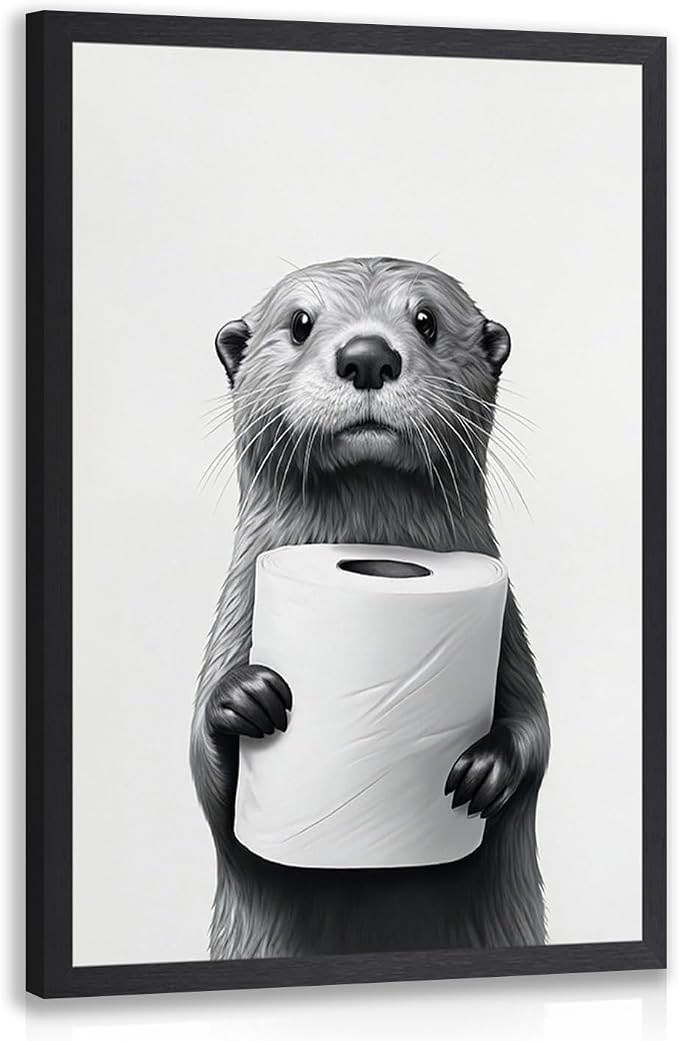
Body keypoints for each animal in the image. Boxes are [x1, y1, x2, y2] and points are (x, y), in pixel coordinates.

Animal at [191, 257, 550, 959]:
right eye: (300, 322)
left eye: (427, 320)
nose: (367, 356)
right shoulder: (235, 616)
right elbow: (204, 770)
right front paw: (243, 698)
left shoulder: (510, 635)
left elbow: (538, 730)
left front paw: (486, 769)